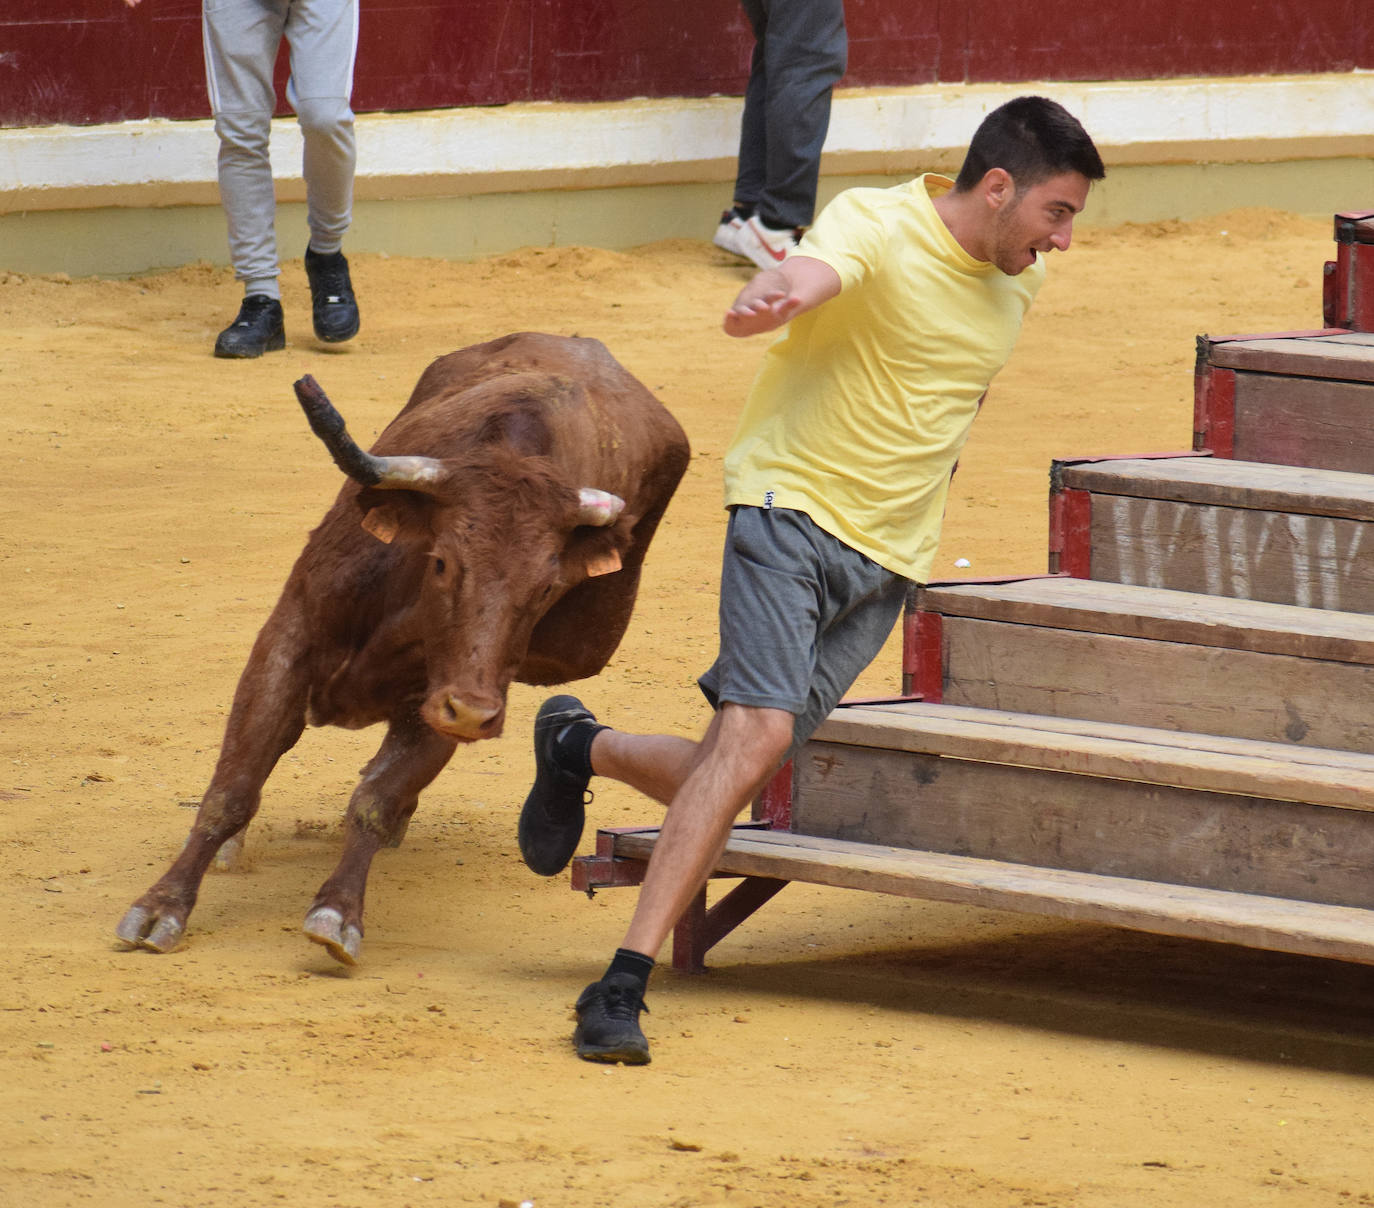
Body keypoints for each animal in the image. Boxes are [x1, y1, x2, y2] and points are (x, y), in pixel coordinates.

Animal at [118, 331, 692, 962]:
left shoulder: (443, 702)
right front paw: (163, 906)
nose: (474, 713)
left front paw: (337, 912)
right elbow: (233, 785)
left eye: (547, 587)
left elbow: (375, 798)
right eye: (441, 561)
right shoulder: (287, 639)